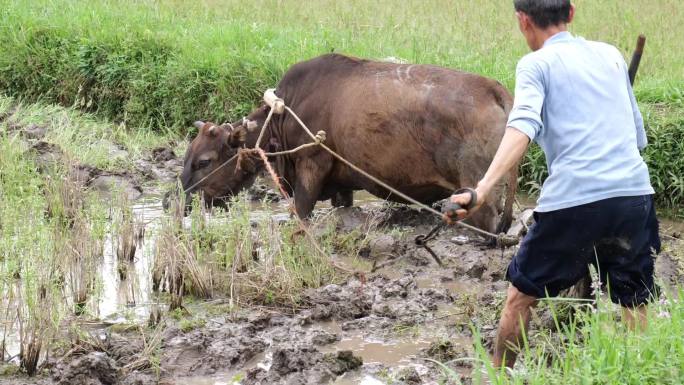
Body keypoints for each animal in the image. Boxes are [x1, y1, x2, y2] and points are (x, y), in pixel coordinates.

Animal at [179, 52, 516, 230]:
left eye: (204, 161)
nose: (183, 202)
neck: (282, 115)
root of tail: (493, 89)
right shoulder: (342, 185)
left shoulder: (311, 166)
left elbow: (301, 211)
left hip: (478, 197)